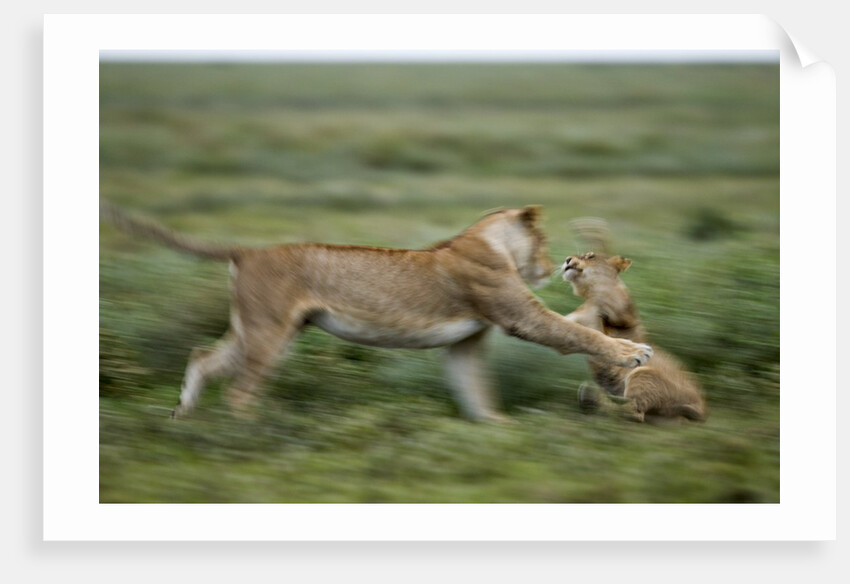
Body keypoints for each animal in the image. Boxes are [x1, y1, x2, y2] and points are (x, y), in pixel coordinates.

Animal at [100, 201, 653, 422]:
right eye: (543, 240)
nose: (555, 263)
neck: (484, 239)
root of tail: (246, 251)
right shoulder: (522, 317)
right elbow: (579, 334)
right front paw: (633, 351)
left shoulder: (465, 343)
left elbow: (474, 387)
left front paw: (496, 427)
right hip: (269, 332)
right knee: (239, 392)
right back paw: (248, 436)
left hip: (263, 328)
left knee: (201, 356)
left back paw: (182, 418)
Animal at [561, 251, 707, 423]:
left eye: (590, 256)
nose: (567, 260)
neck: (591, 296)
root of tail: (702, 407)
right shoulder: (574, 319)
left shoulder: (628, 319)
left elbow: (613, 312)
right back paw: (590, 397)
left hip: (642, 373)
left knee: (634, 412)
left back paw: (592, 398)